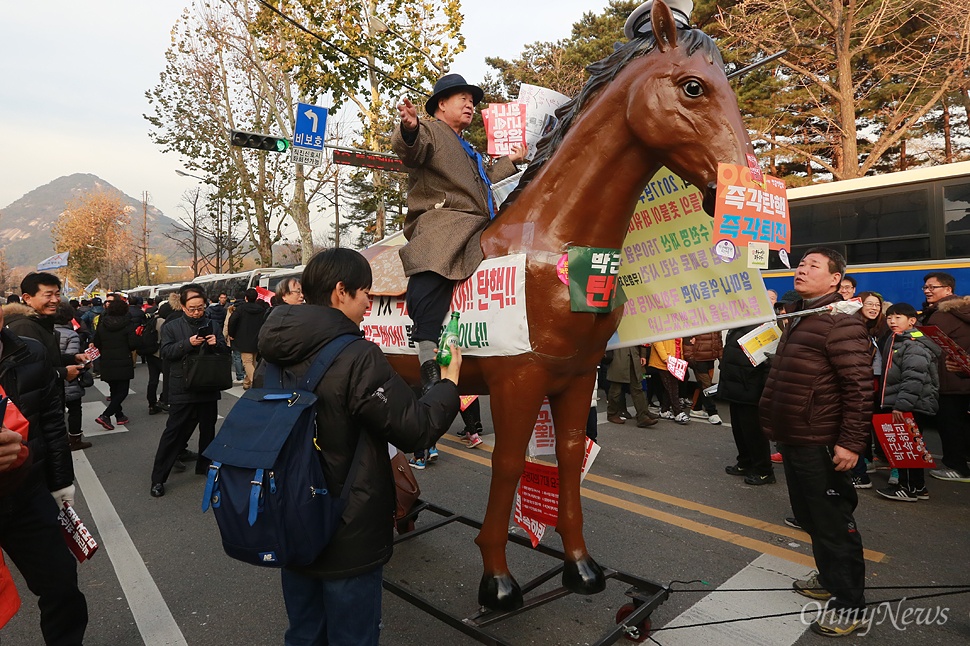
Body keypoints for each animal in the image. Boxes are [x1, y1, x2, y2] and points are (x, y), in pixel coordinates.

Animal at [382, 1, 752, 612]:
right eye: (694, 87)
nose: (737, 187)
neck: (554, 244)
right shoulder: (518, 379)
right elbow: (509, 464)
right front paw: (497, 580)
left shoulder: (578, 376)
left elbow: (572, 457)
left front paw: (581, 566)